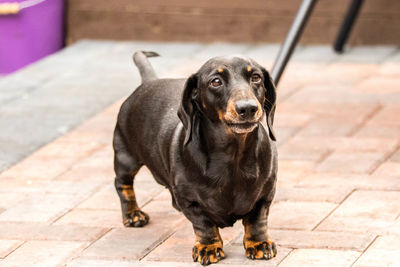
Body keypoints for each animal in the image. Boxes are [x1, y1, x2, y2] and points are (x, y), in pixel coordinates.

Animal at [113, 51, 278, 264]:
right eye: (216, 81)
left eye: (256, 77)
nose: (248, 108)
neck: (231, 155)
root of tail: (149, 82)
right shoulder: (190, 201)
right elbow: (204, 224)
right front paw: (208, 247)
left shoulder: (265, 194)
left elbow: (257, 220)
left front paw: (259, 243)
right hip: (125, 157)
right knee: (122, 185)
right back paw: (133, 214)